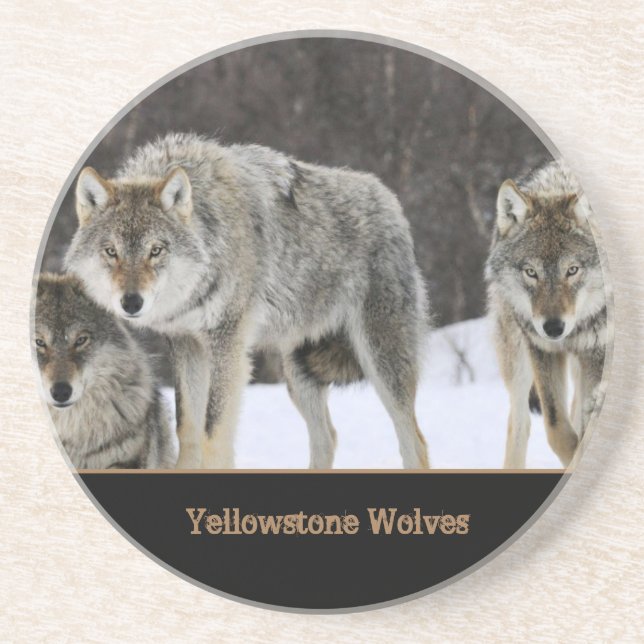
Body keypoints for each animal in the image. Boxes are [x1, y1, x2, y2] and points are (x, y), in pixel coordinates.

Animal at [64, 133, 430, 470]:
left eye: (156, 250)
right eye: (111, 251)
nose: (131, 302)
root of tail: (390, 201)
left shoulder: (228, 344)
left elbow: (213, 432)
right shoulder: (186, 344)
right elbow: (187, 428)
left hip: (381, 362)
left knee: (414, 441)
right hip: (298, 374)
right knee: (328, 437)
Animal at [485, 160, 608, 468]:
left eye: (572, 270)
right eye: (531, 272)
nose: (554, 328)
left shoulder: (597, 352)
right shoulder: (541, 348)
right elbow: (557, 430)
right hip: (517, 359)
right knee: (519, 423)